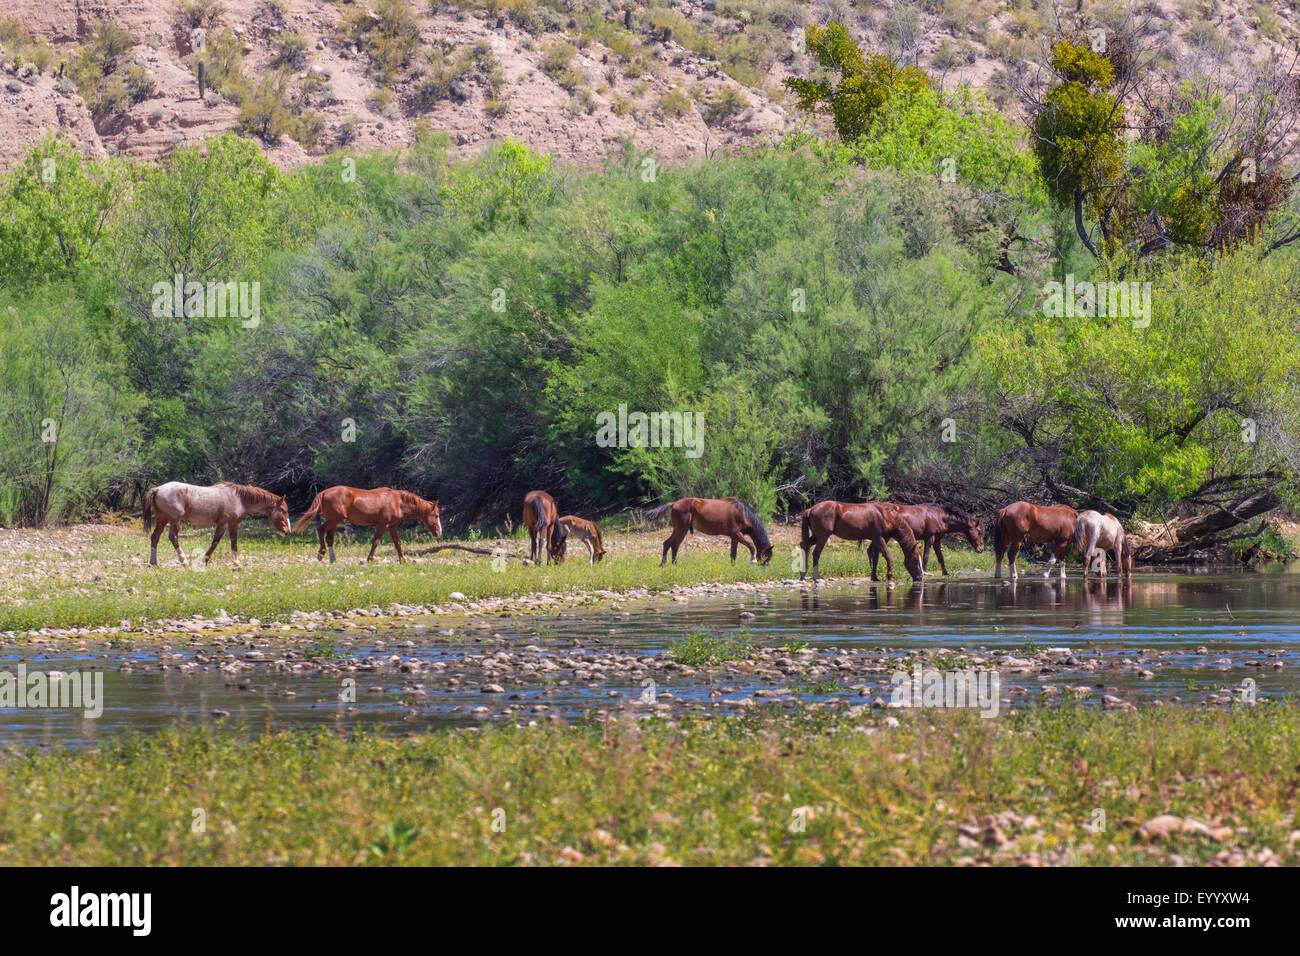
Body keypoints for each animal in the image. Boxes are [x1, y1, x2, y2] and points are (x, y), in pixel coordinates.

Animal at [144, 478, 292, 567]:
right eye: (284, 511)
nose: (287, 531)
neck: (239, 499)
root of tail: (157, 489)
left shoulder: (233, 525)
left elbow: (234, 543)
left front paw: (237, 563)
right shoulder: (223, 524)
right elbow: (215, 542)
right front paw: (204, 560)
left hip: (162, 519)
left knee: (155, 537)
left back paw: (153, 562)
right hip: (175, 520)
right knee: (173, 537)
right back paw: (184, 561)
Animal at [291, 486, 441, 561]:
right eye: (436, 515)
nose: (439, 533)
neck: (397, 501)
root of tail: (323, 493)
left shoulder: (392, 527)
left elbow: (397, 544)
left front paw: (403, 560)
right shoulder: (383, 525)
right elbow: (376, 541)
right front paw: (370, 559)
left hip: (333, 521)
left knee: (329, 538)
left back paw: (332, 559)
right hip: (334, 520)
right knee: (320, 531)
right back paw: (321, 554)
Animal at [790, 502, 925, 582]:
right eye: (914, 560)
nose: (920, 577)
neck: (886, 515)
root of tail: (810, 509)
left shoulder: (878, 539)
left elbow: (875, 556)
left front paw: (874, 577)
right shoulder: (879, 538)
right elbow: (887, 556)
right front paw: (890, 576)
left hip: (816, 536)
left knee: (805, 545)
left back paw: (803, 573)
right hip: (823, 536)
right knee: (816, 553)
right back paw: (816, 576)